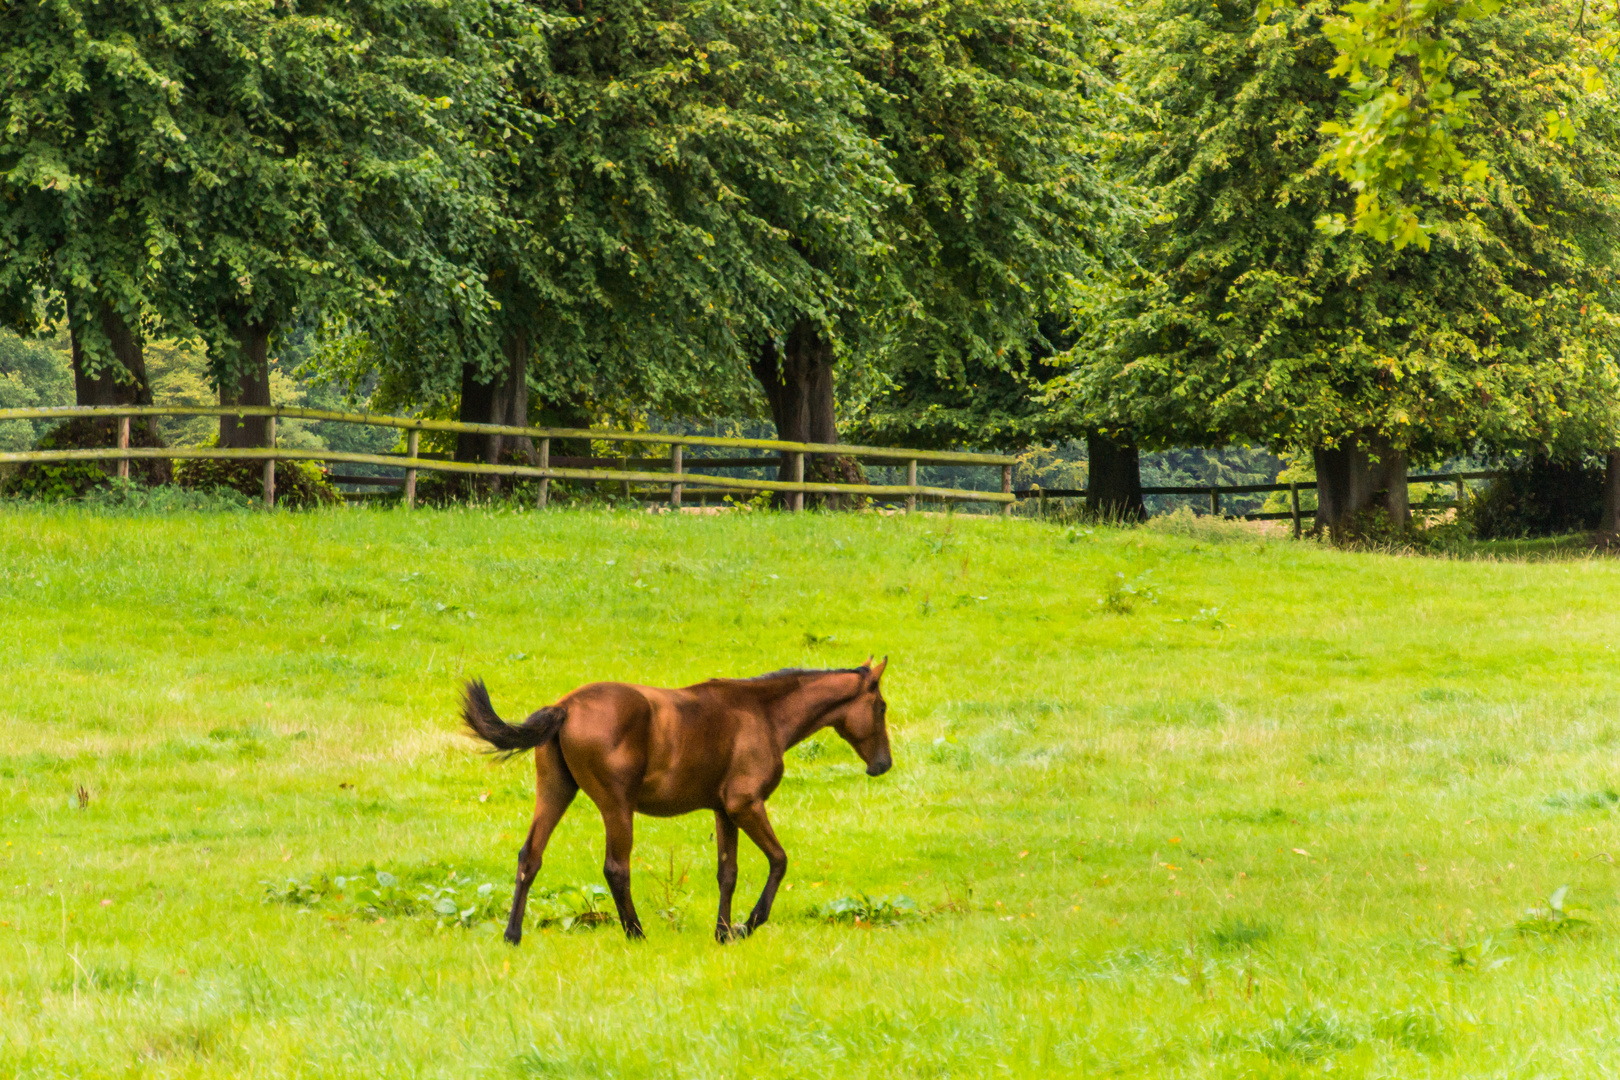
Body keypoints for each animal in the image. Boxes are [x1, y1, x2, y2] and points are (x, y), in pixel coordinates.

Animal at [456, 654, 894, 939]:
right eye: (882, 706)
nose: (883, 764)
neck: (764, 714)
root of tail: (564, 707)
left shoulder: (723, 811)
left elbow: (727, 873)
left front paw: (723, 932)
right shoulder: (745, 804)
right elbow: (779, 860)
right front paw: (748, 924)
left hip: (555, 790)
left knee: (530, 855)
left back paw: (512, 935)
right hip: (616, 806)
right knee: (616, 868)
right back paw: (635, 933)